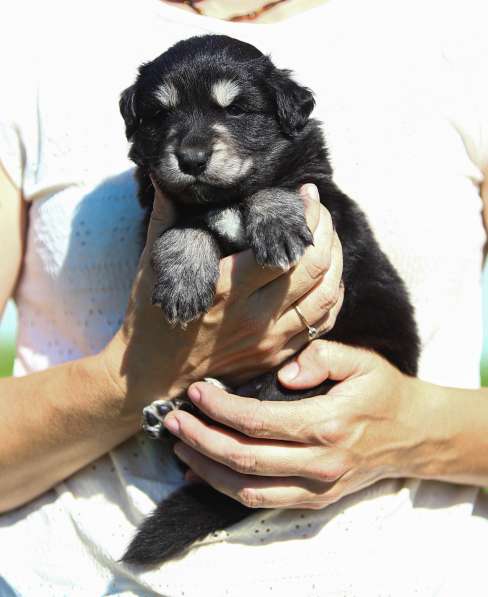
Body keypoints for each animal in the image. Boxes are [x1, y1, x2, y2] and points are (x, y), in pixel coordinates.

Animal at [119, 35, 420, 564]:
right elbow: (182, 226)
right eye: (159, 114)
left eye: (236, 109)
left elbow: (283, 189)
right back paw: (168, 413)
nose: (191, 158)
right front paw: (183, 279)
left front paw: (275, 223)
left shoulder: (325, 204)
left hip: (302, 387)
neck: (226, 198)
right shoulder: (158, 205)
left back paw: (181, 411)